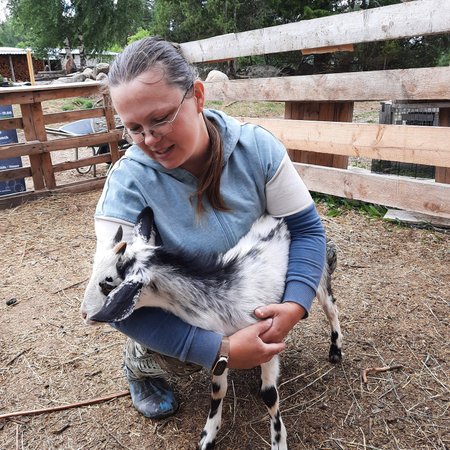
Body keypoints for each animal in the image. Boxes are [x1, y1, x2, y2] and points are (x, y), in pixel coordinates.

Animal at [81, 208, 342, 450]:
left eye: (107, 284)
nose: (85, 314)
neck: (220, 296)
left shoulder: (269, 336)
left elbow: (269, 394)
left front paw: (278, 441)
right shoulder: (225, 349)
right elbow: (218, 390)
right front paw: (208, 437)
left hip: (319, 275)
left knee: (331, 309)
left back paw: (336, 351)